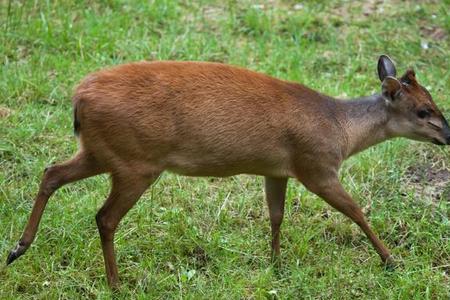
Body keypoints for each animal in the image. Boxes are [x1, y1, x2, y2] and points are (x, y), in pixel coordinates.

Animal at [7, 55, 450, 288]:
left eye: (432, 101)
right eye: (423, 110)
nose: (447, 134)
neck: (340, 127)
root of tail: (79, 97)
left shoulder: (278, 170)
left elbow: (276, 215)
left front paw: (276, 264)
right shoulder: (317, 166)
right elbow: (356, 211)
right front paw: (391, 261)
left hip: (101, 152)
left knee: (51, 172)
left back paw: (18, 248)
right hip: (136, 164)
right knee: (104, 216)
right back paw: (116, 284)